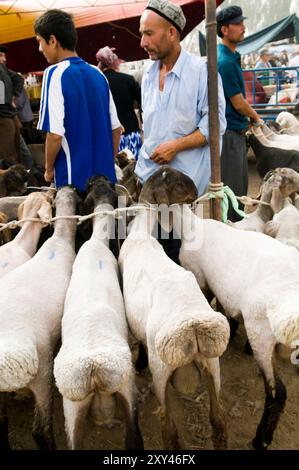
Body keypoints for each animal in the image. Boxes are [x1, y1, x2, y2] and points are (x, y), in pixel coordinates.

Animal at [119, 206, 230, 448]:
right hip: (213, 365)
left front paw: (140, 363)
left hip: (161, 369)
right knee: (218, 420)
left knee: (168, 428)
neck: (140, 234)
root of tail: (193, 326)